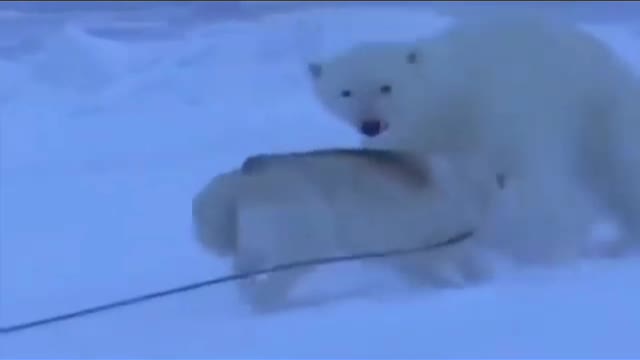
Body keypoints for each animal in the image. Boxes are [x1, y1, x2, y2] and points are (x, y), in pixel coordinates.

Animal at [191, 148, 500, 310]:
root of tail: (245, 176)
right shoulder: (445, 244)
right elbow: (469, 269)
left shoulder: (406, 256)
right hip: (307, 247)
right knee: (268, 293)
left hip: (261, 249)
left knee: (242, 273)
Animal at [308, 14, 640, 266]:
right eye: (346, 91)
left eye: (386, 86)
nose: (370, 124)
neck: (451, 100)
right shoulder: (414, 135)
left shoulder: (500, 112)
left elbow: (530, 179)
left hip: (600, 106)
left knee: (617, 171)